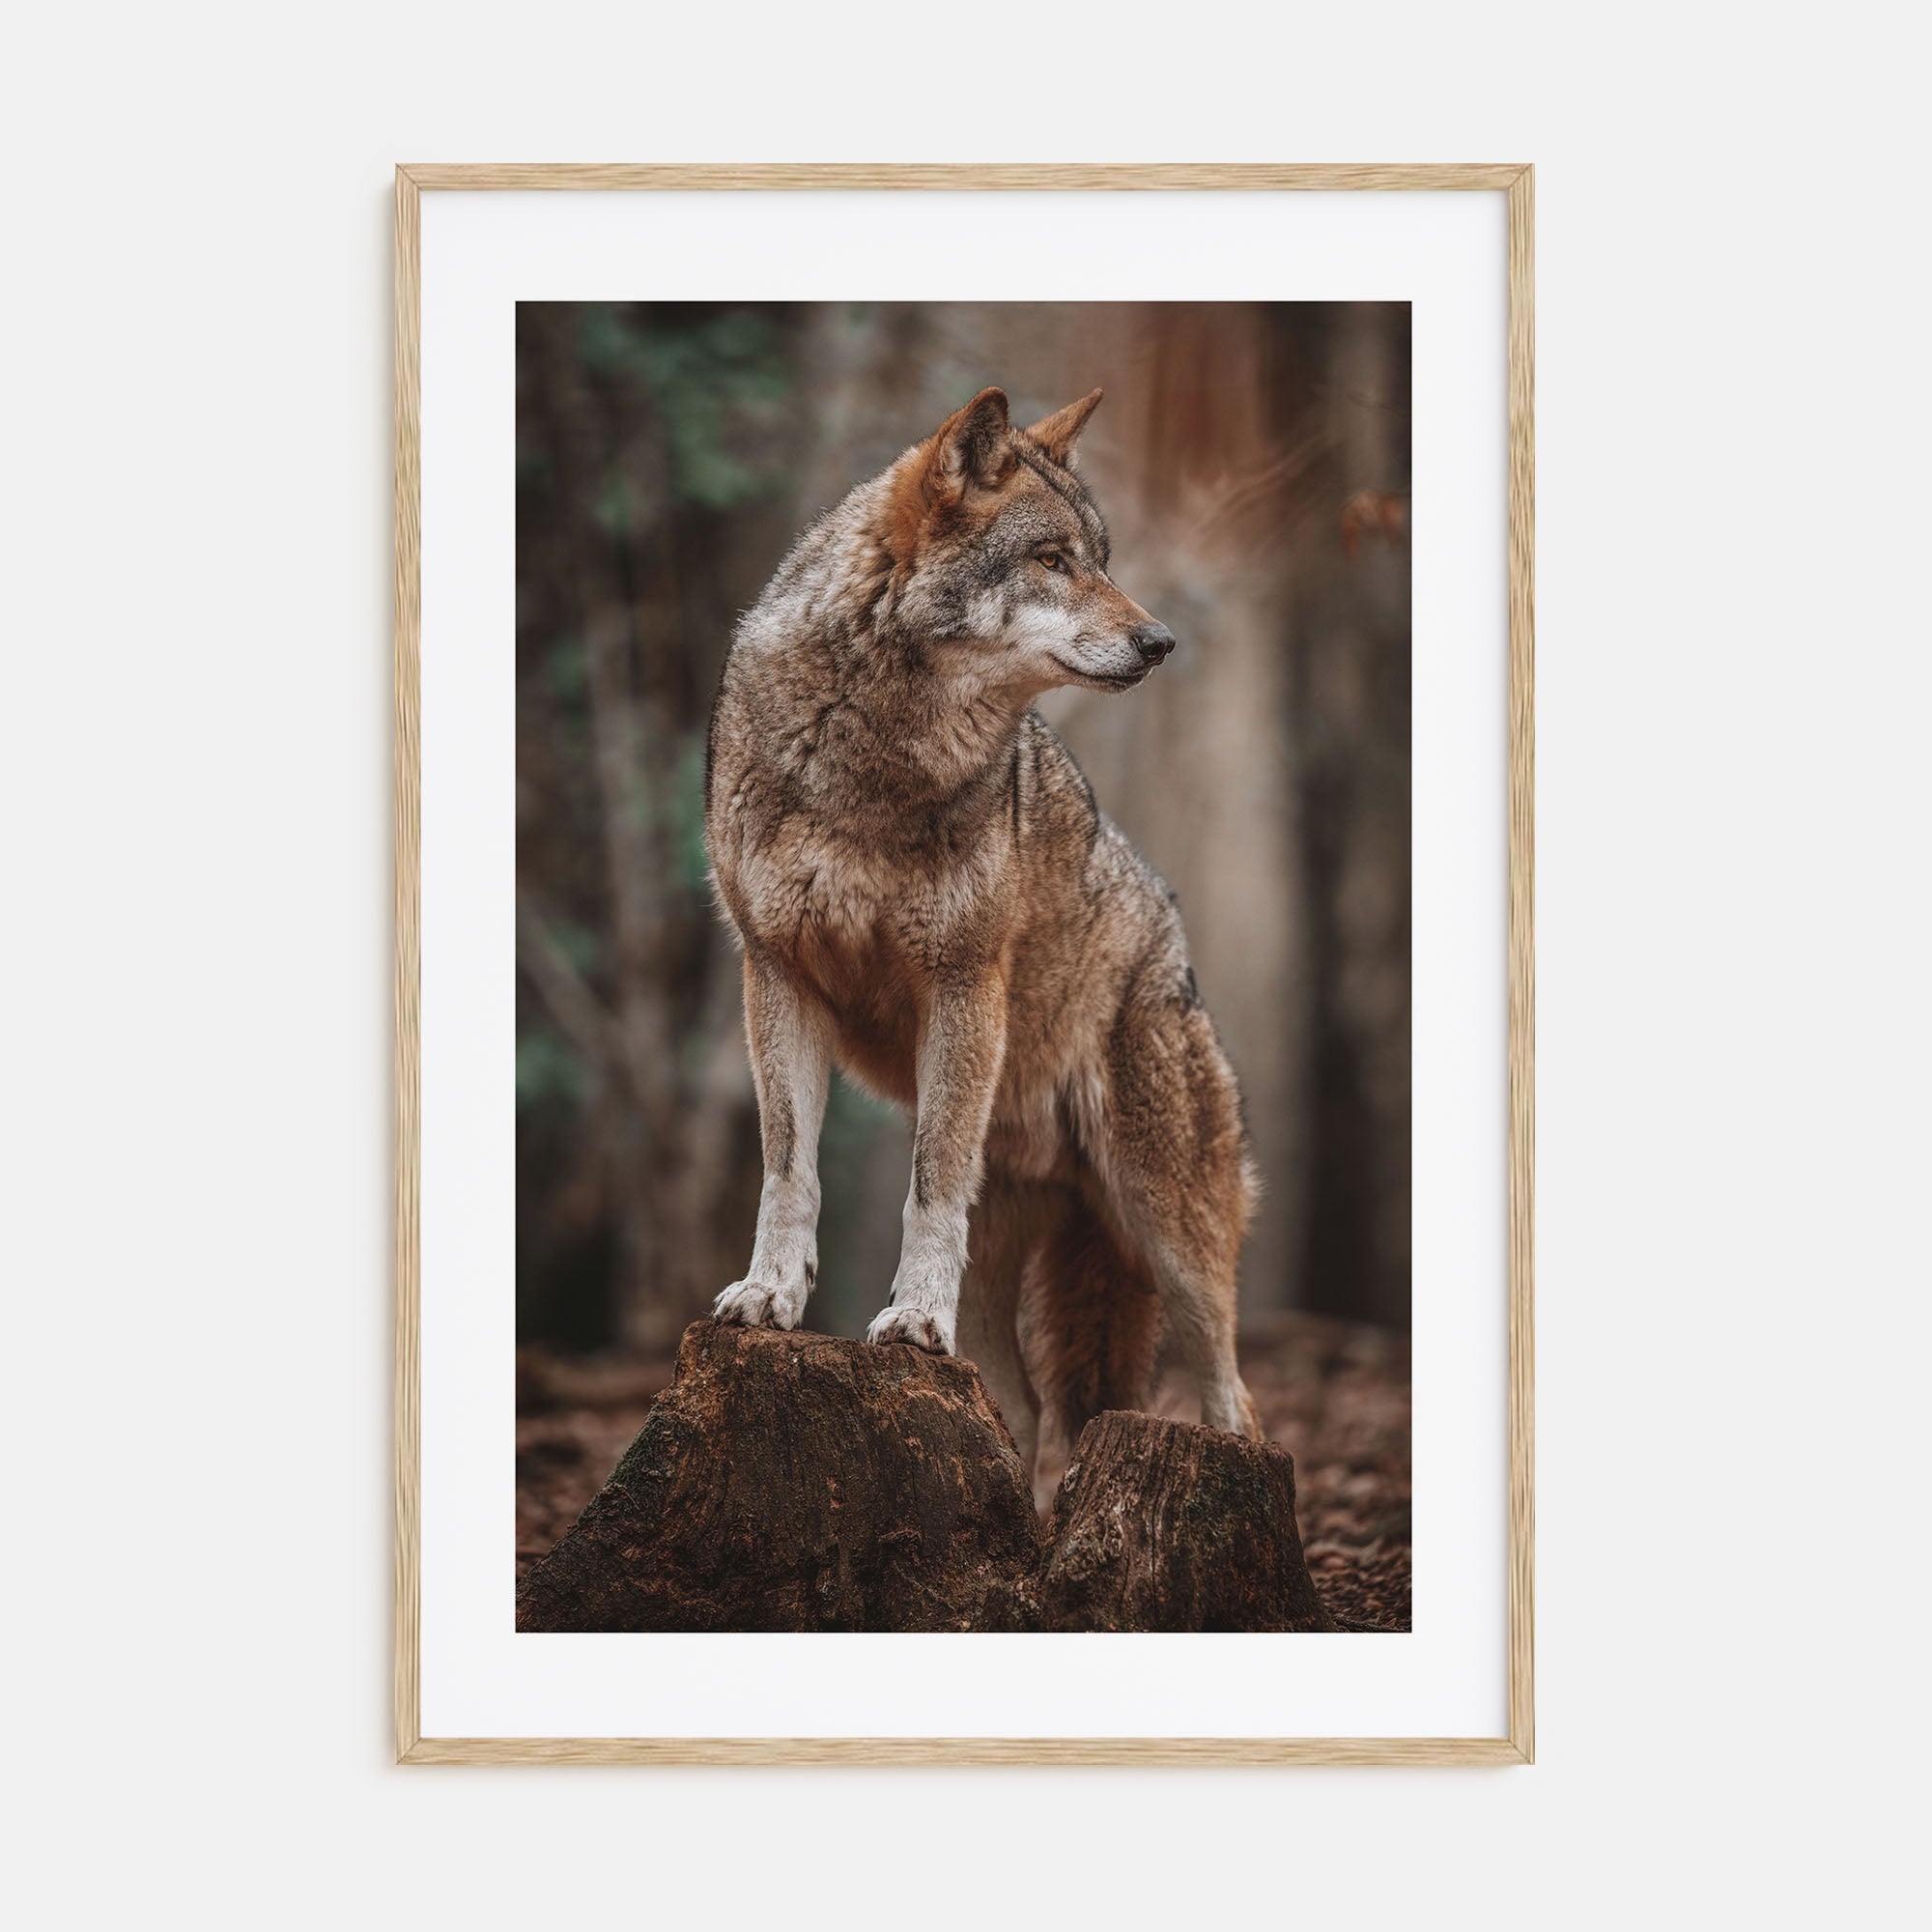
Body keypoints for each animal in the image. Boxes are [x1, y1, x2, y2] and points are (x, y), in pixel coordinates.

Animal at [704, 385, 1261, 1500]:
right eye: (1051, 559)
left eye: (1100, 555)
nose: (1160, 641)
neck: (870, 755)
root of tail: (1173, 940)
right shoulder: (774, 973)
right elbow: (788, 1167)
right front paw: (769, 1296)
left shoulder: (960, 981)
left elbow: (927, 1177)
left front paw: (913, 1319)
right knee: (1031, 1414)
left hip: (1167, 1228)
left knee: (1234, 1395)